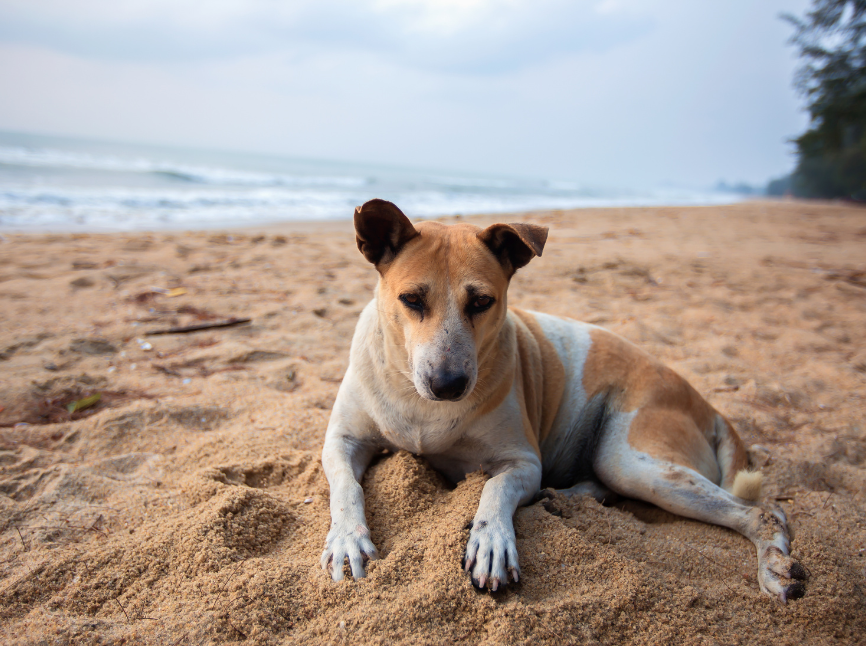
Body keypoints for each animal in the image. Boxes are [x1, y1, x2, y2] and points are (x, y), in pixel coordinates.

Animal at [320, 200, 808, 604]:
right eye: (411, 299)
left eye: (481, 302)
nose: (448, 384)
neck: (419, 400)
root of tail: (708, 405)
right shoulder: (341, 441)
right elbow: (346, 486)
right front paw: (346, 540)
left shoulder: (522, 462)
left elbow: (494, 489)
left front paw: (491, 542)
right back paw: (562, 500)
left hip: (633, 458)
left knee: (763, 513)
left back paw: (776, 570)